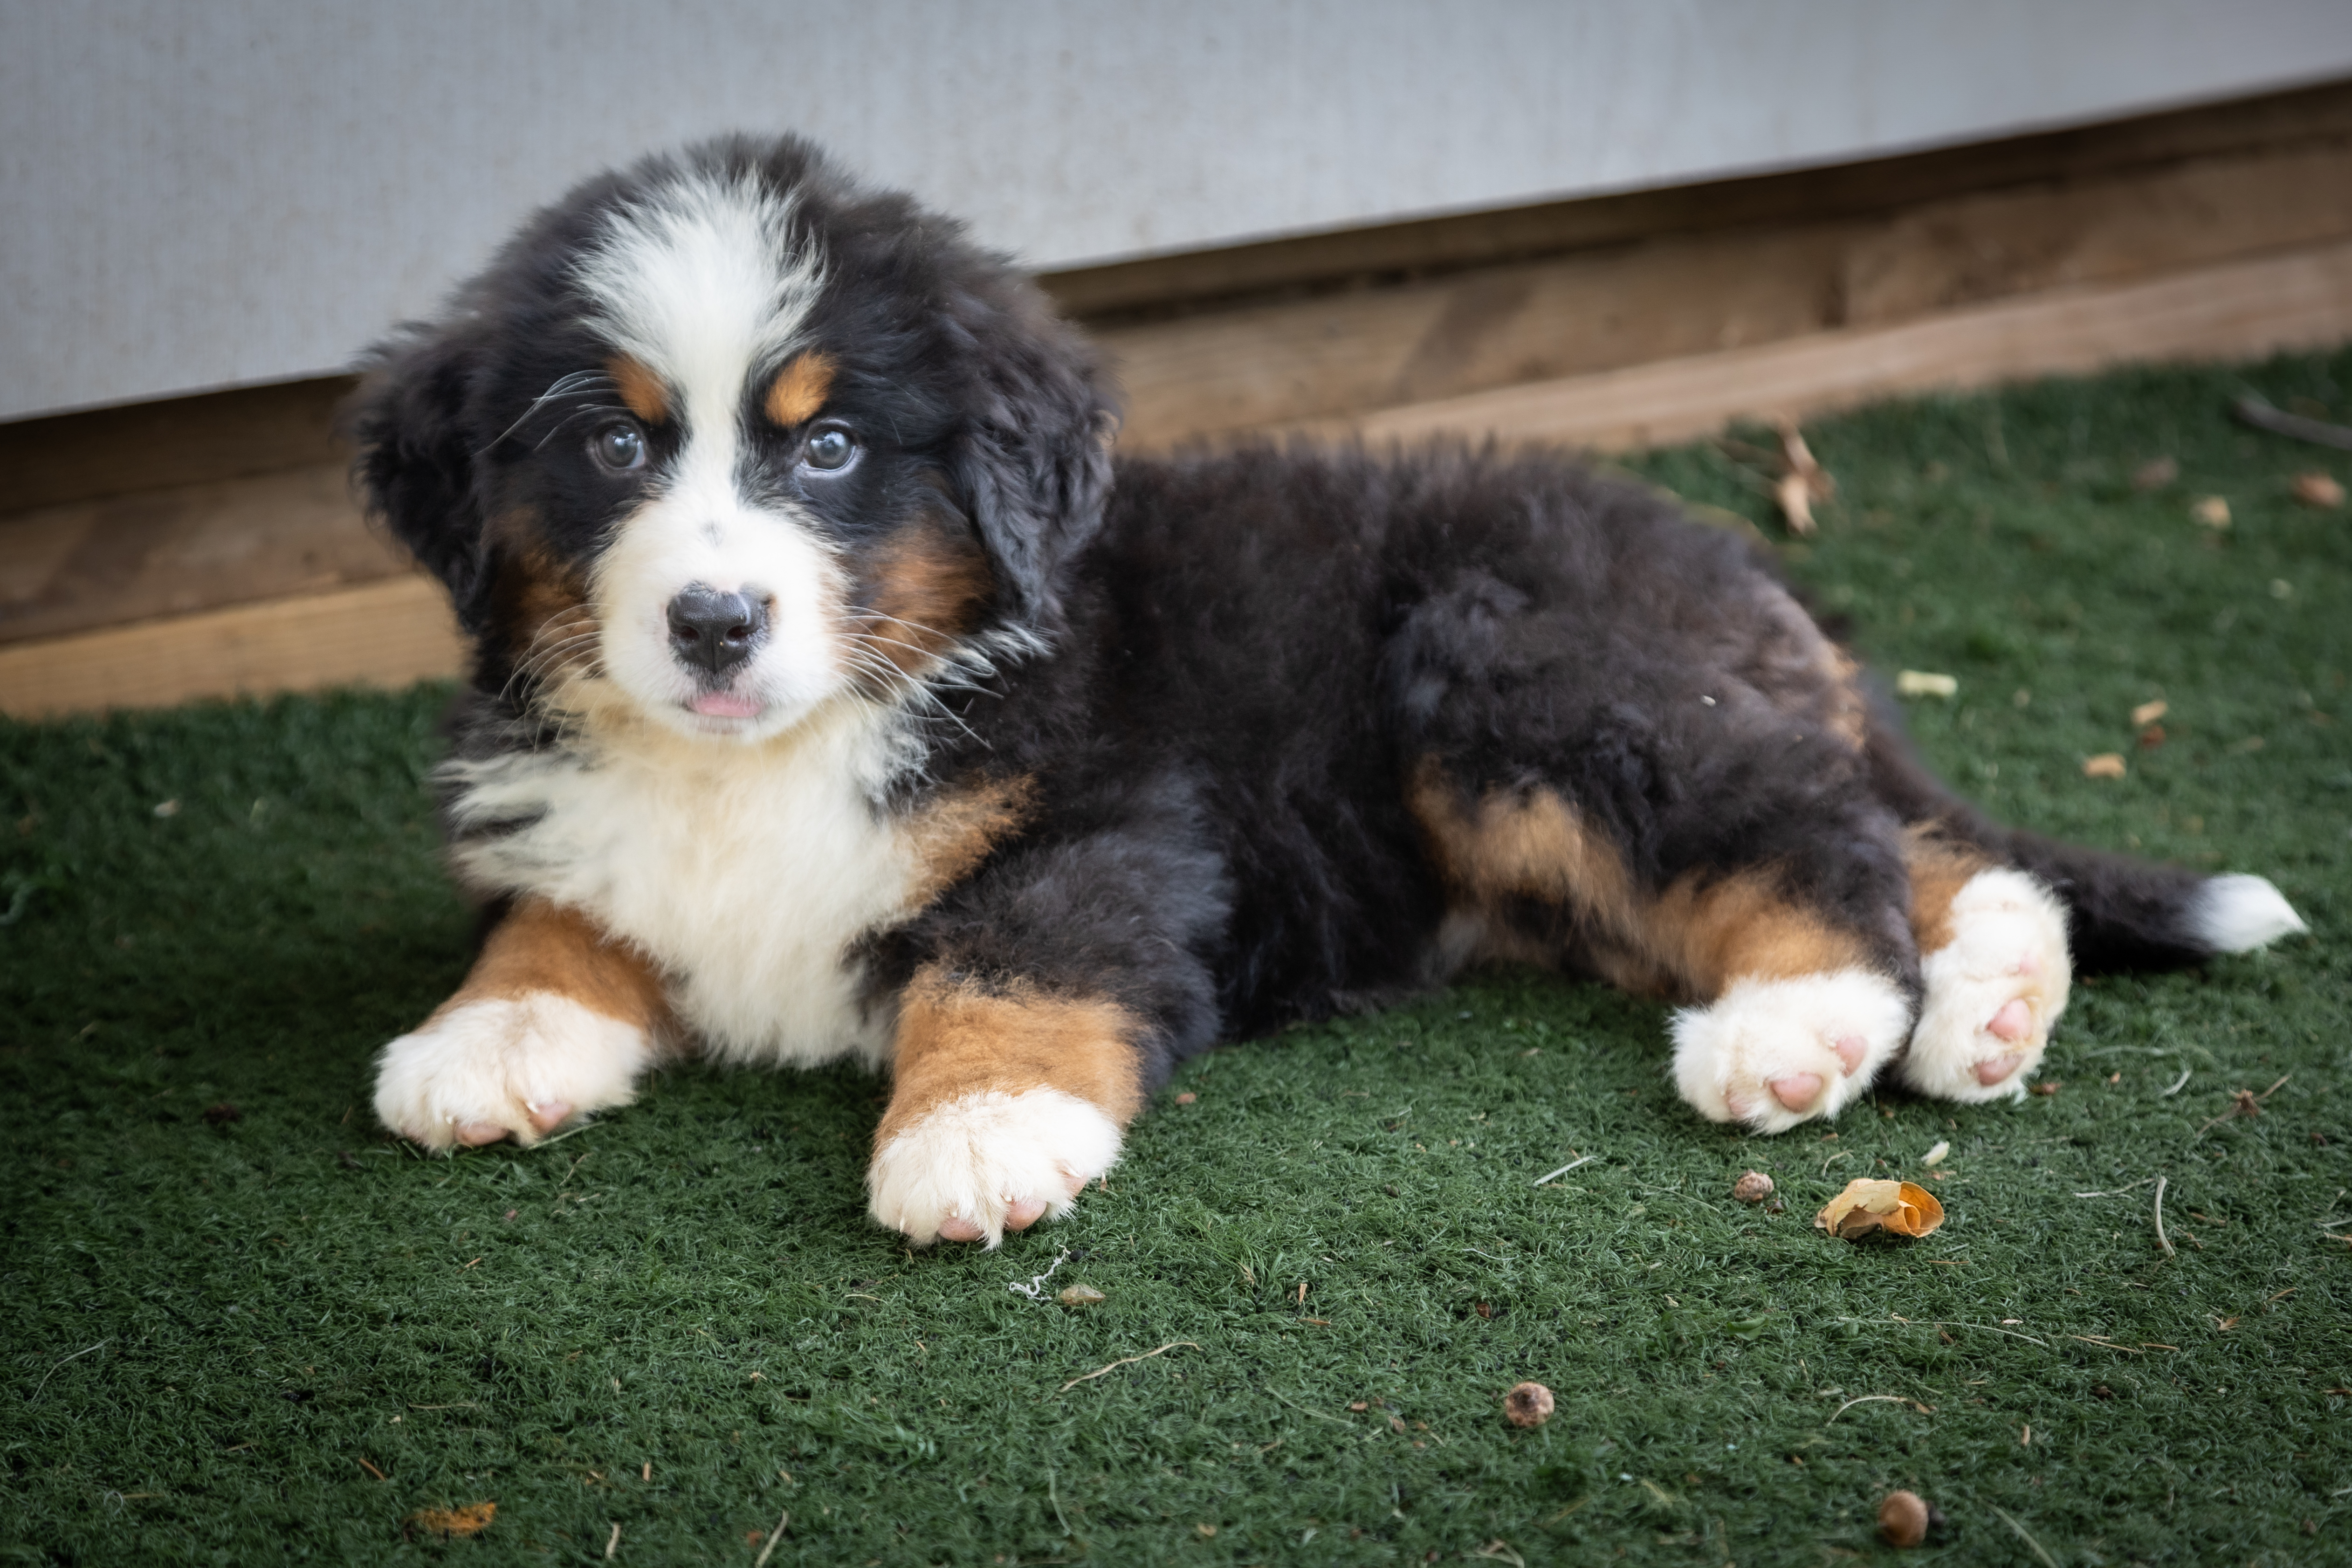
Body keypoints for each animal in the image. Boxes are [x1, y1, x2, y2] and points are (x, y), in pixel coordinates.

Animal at [352, 135, 2314, 1241]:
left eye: (826, 446)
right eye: (612, 445)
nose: (710, 622)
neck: (792, 744)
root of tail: (1712, 551)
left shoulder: (1108, 818)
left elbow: (1007, 964)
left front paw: (976, 1132)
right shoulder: (586, 811)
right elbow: (557, 907)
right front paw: (493, 1032)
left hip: (1513, 674)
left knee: (1807, 835)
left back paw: (1804, 1025)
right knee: (1916, 840)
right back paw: (1985, 1002)